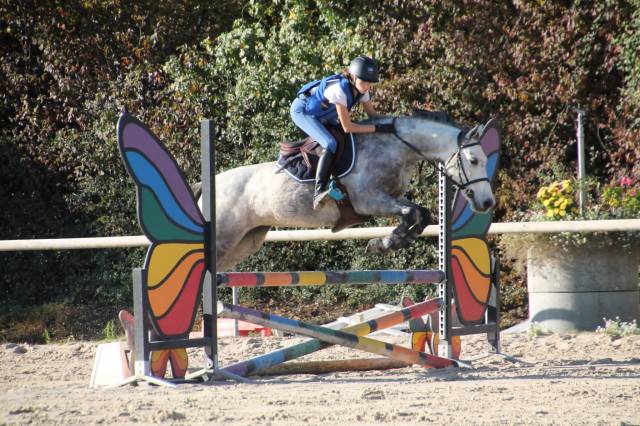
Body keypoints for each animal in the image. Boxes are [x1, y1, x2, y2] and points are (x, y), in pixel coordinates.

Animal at [209, 113, 496, 271]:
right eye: (473, 160)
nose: (487, 202)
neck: (394, 148)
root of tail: (209, 185)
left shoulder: (389, 198)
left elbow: (420, 214)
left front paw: (392, 241)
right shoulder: (367, 202)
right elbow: (412, 212)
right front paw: (385, 243)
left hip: (246, 241)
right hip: (224, 238)